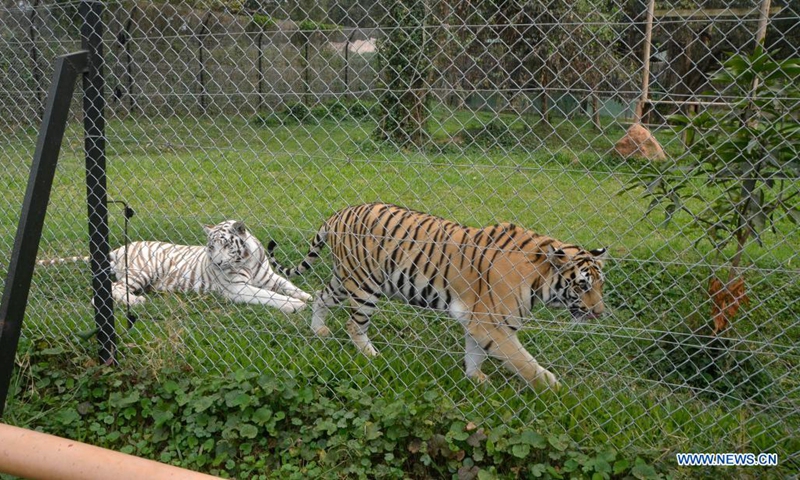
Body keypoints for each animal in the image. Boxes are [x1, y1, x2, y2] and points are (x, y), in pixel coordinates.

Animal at [111, 220, 310, 314]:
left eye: (226, 245)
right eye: (212, 247)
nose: (217, 263)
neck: (247, 260)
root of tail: (122, 247)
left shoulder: (269, 277)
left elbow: (288, 285)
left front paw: (306, 296)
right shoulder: (237, 288)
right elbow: (268, 295)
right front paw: (295, 305)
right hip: (143, 271)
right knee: (115, 287)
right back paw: (135, 301)